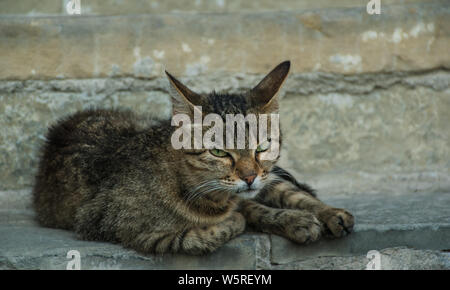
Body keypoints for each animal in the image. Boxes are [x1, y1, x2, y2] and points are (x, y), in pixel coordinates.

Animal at [32, 60, 356, 254]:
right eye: (219, 152)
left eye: (262, 147)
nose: (250, 177)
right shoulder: (129, 230)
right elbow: (198, 236)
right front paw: (238, 221)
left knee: (286, 193)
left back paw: (329, 214)